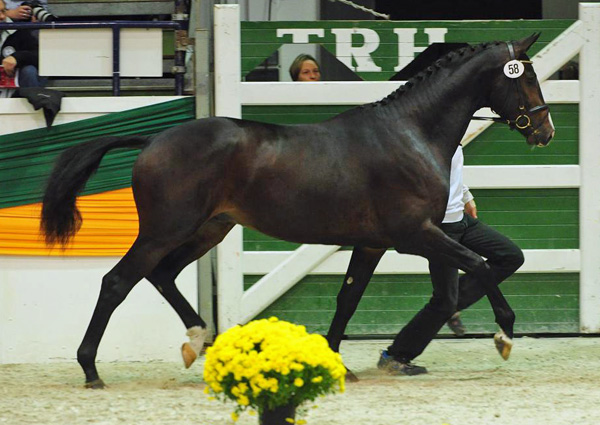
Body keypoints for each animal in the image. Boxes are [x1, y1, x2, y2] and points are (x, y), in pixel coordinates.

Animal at [41, 34, 552, 388]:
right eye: (526, 77)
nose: (544, 131)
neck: (410, 134)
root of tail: (152, 139)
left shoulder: (373, 244)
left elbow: (347, 301)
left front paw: (338, 363)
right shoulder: (415, 233)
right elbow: (478, 264)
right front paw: (505, 335)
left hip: (209, 229)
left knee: (162, 275)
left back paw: (201, 343)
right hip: (165, 229)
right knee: (117, 282)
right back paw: (91, 370)